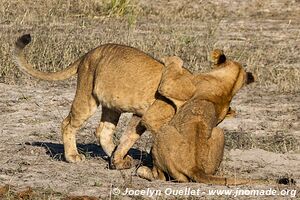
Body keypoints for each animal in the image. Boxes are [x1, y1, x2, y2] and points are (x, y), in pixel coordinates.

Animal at [13, 34, 195, 169]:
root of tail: (88, 53)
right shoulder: (152, 117)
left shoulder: (140, 115)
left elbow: (129, 136)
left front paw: (118, 159)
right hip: (87, 95)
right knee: (68, 124)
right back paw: (73, 156)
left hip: (112, 106)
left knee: (103, 132)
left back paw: (118, 158)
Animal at [137, 51, 268, 184]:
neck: (230, 84)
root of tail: (195, 168)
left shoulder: (172, 86)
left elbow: (170, 75)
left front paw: (171, 58)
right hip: (219, 133)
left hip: (165, 131)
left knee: (163, 177)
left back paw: (144, 171)